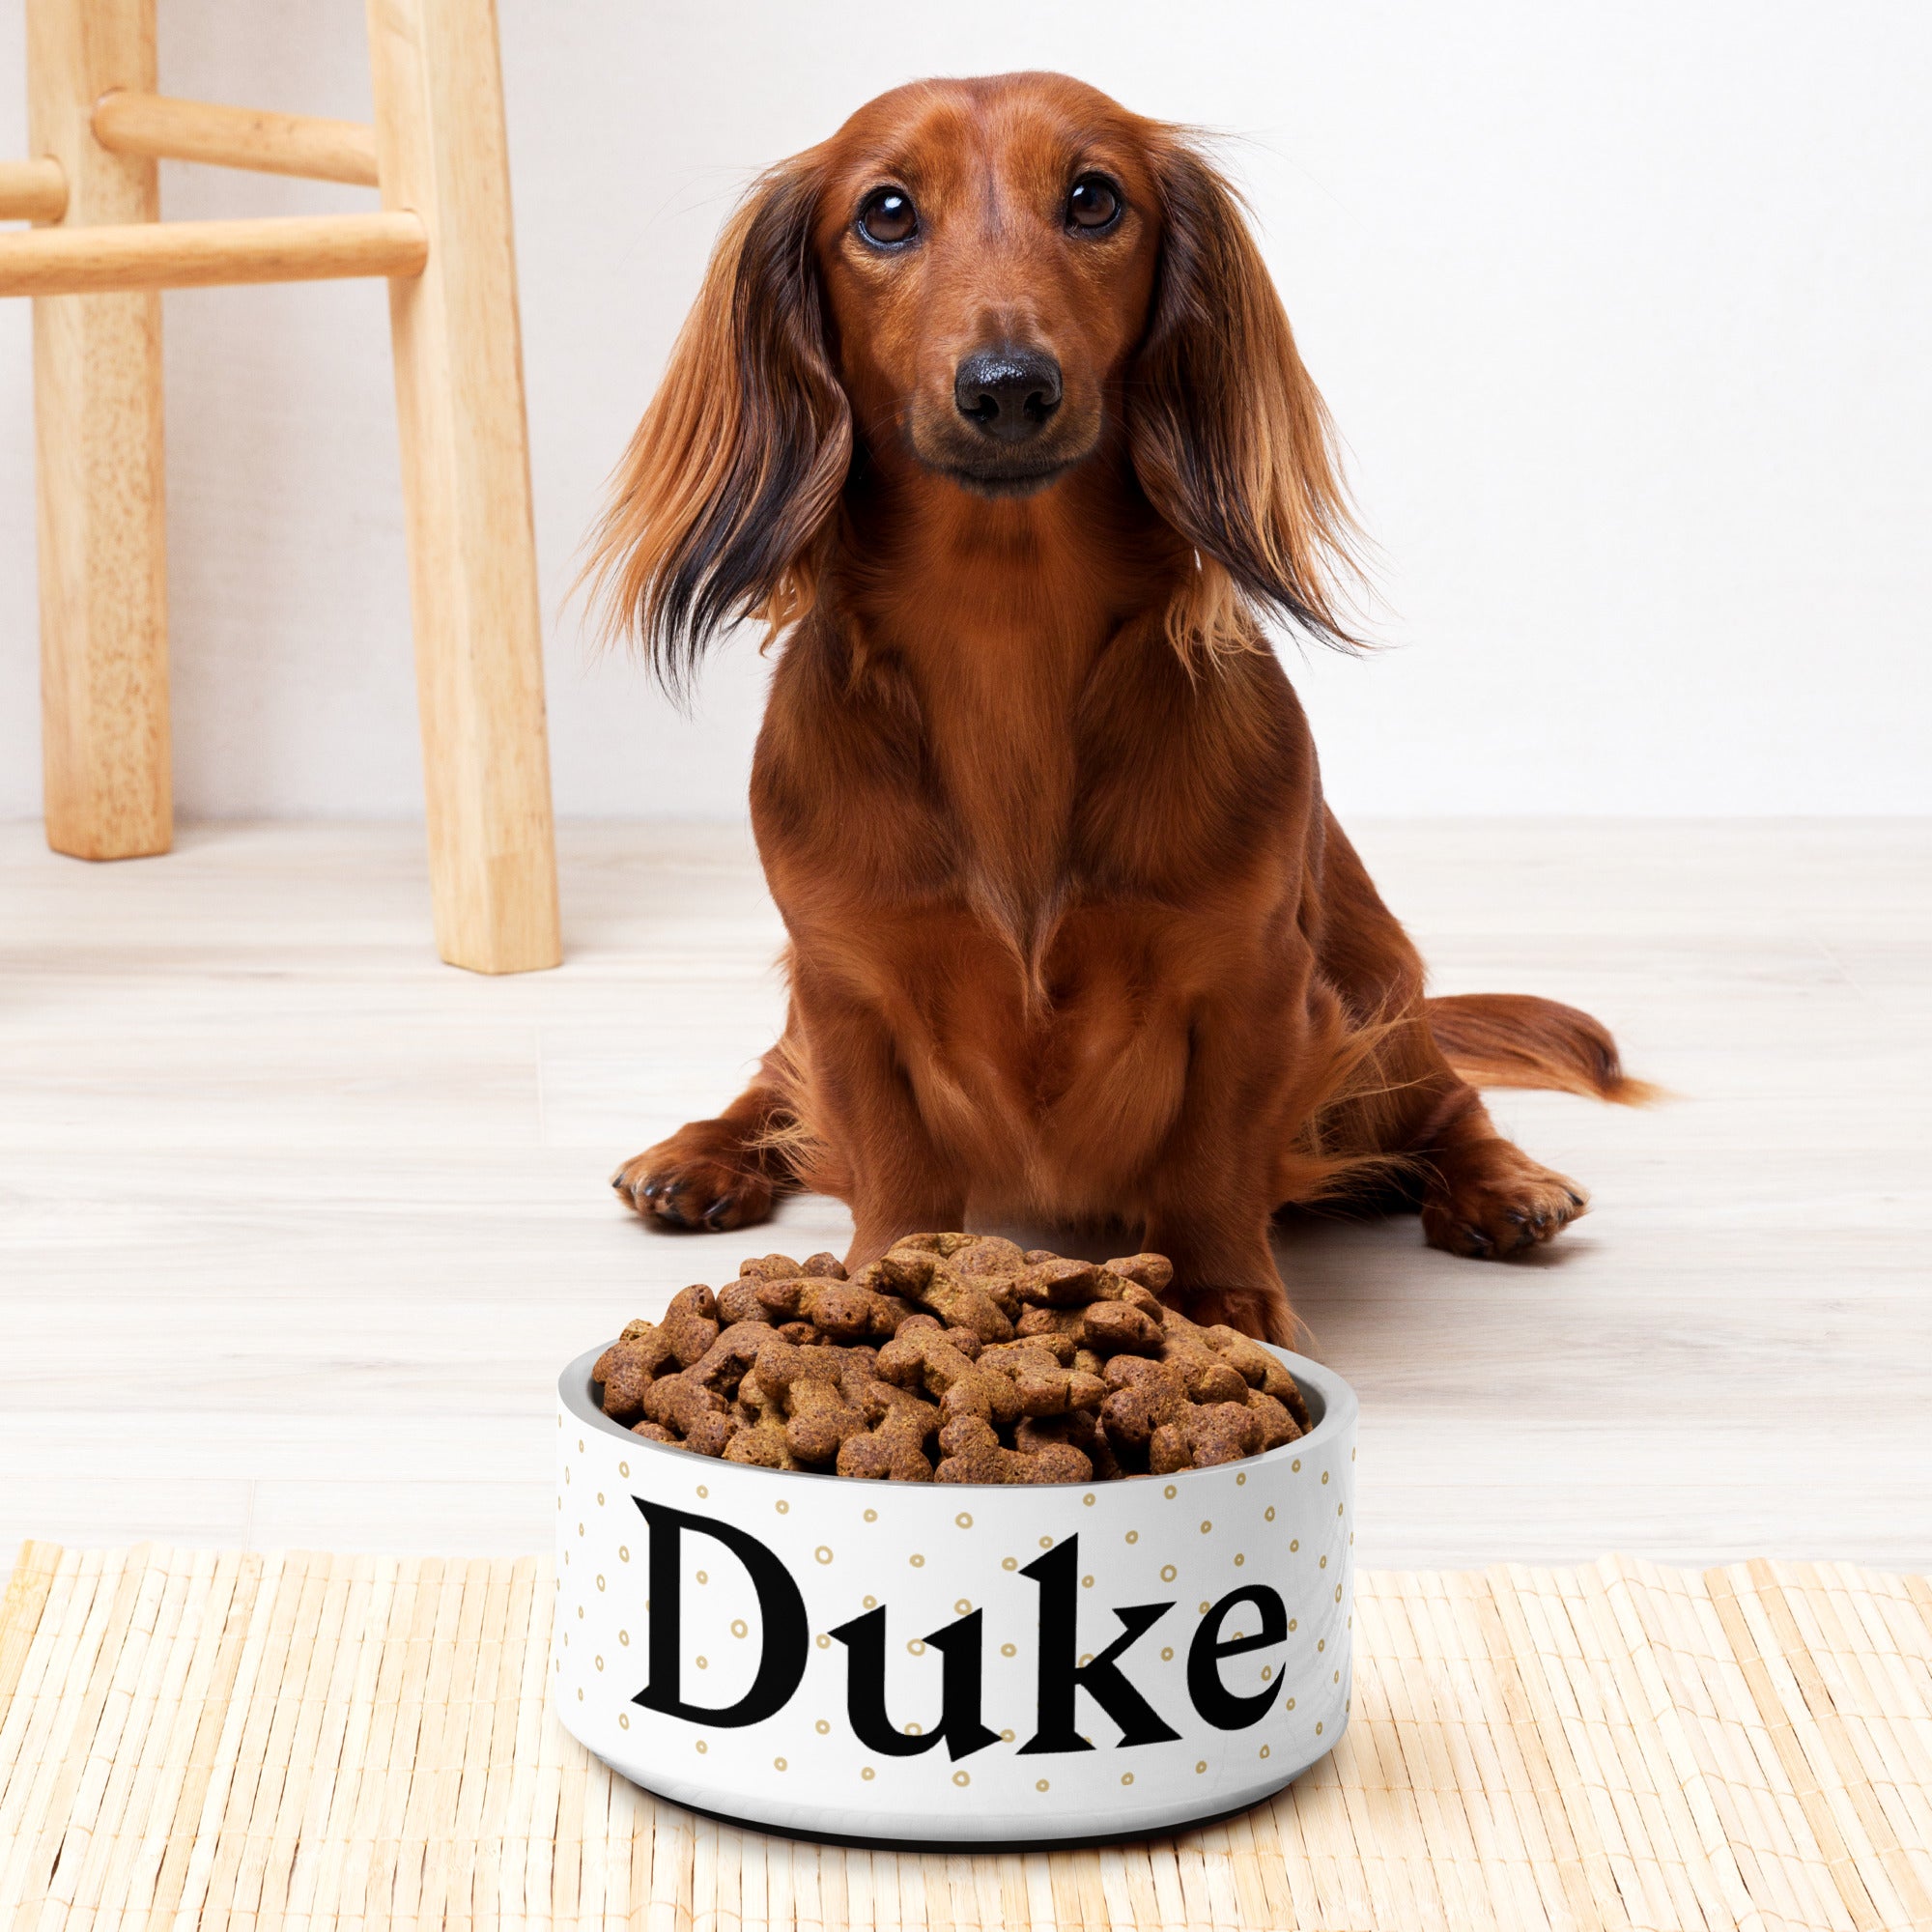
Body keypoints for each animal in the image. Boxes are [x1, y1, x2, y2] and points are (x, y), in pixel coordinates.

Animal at [587, 75, 1646, 1345]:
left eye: (1093, 198)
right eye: (884, 212)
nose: (1007, 387)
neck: (1005, 633)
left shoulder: (1251, 979)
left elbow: (1210, 1158)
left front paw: (1225, 1297)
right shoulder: (845, 982)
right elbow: (888, 1156)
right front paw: (884, 1281)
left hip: (1374, 995)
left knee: (1445, 1100)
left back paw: (1501, 1184)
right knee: (770, 1084)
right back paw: (699, 1154)